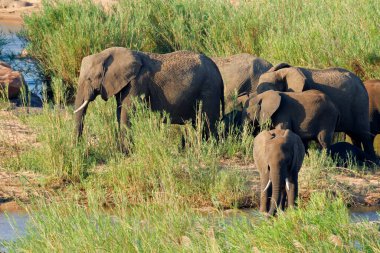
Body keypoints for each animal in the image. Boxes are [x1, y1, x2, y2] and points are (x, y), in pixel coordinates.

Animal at [72, 47, 224, 148]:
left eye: (90, 78)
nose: (78, 148)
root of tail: (218, 72)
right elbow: (119, 112)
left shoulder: (137, 82)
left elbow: (127, 113)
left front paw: (126, 151)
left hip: (209, 90)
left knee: (206, 122)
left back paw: (209, 148)